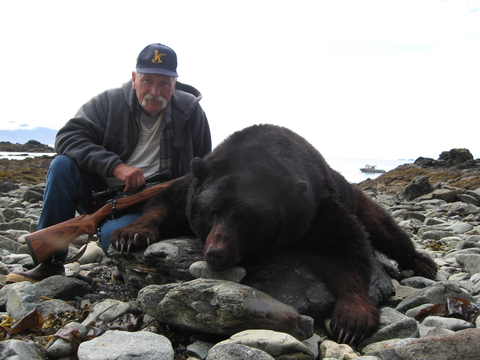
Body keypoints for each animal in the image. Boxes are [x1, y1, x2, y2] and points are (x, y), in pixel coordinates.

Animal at [110, 124, 436, 346]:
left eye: (247, 219)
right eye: (211, 212)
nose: (216, 253)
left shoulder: (315, 208)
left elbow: (346, 245)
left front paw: (352, 317)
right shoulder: (193, 186)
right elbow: (163, 203)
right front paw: (131, 235)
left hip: (357, 198)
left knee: (384, 227)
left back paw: (423, 263)